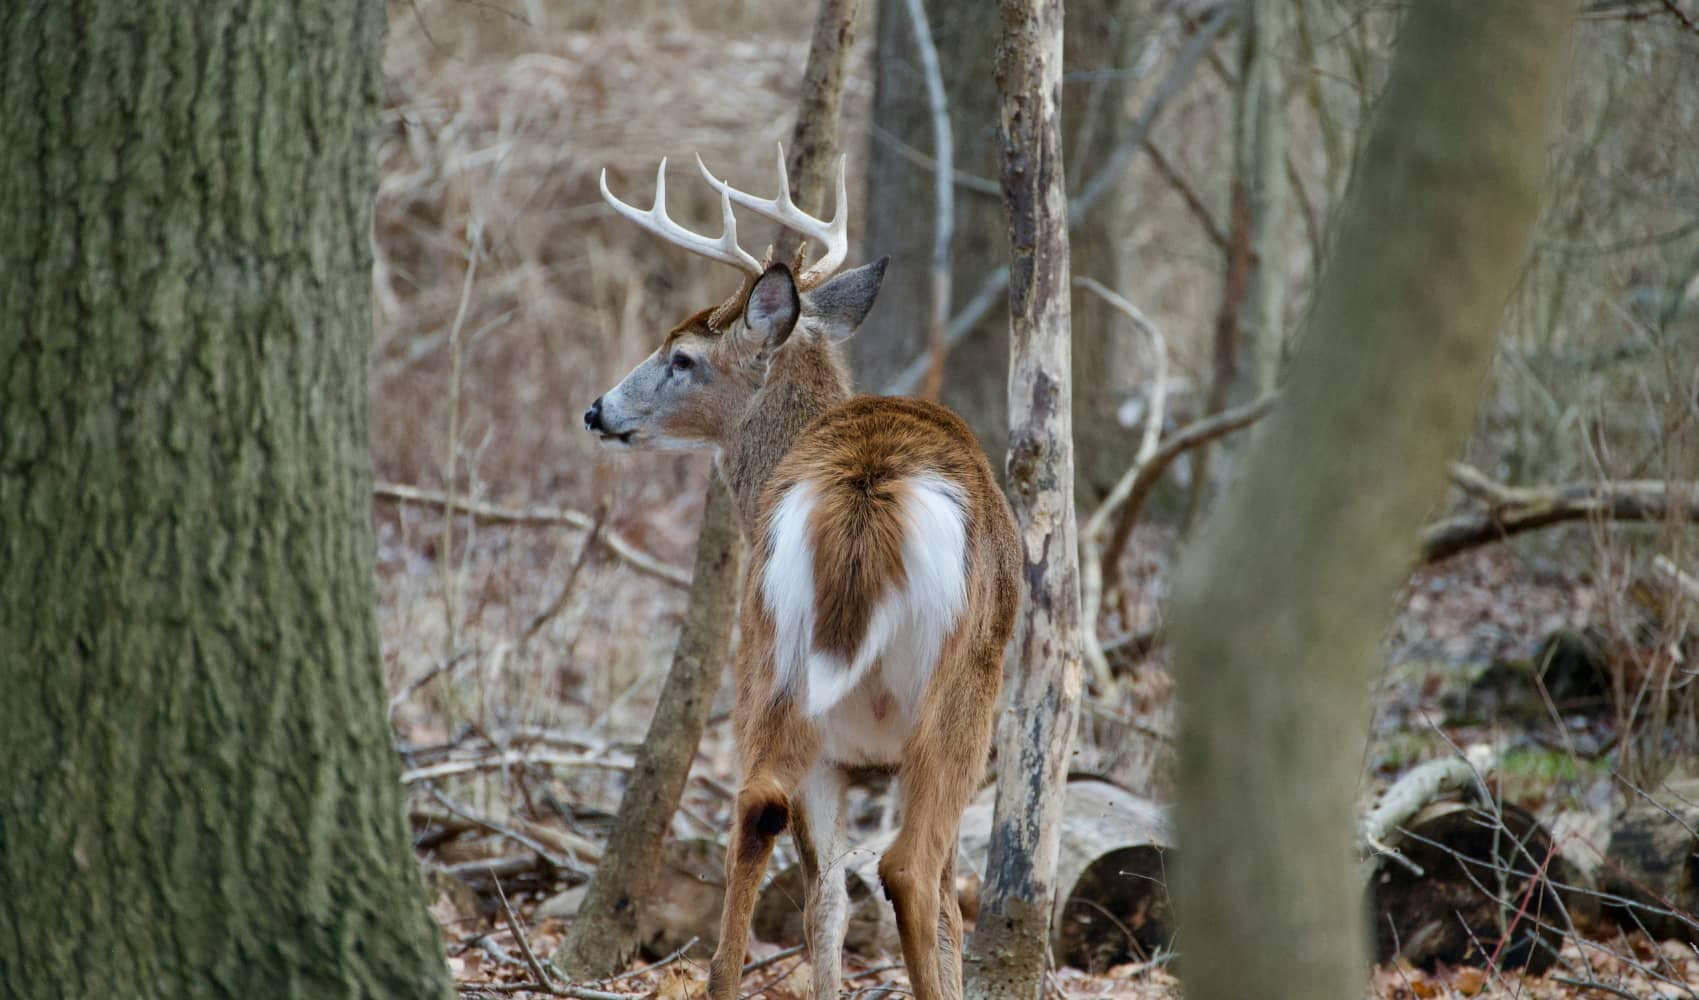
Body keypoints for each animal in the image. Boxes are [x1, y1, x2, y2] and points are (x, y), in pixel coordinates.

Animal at [584, 145, 1021, 1000]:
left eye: (680, 356)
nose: (596, 410)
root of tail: (862, 491)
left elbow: (825, 892)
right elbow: (924, 902)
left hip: (769, 650)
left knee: (760, 811)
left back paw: (722, 981)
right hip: (961, 686)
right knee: (912, 869)